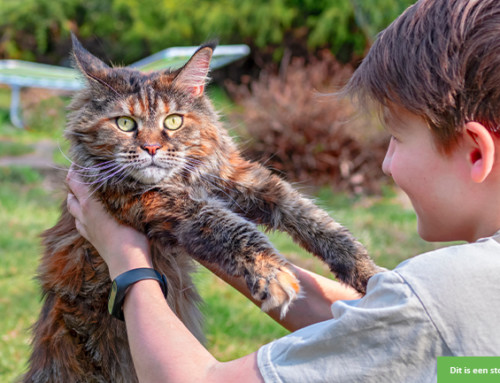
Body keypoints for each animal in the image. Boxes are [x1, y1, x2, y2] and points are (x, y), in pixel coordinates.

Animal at [22, 34, 382, 382]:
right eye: (124, 123)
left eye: (173, 121)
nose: (151, 147)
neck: (185, 180)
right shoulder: (159, 202)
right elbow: (233, 227)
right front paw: (271, 272)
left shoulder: (239, 178)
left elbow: (307, 214)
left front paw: (365, 270)